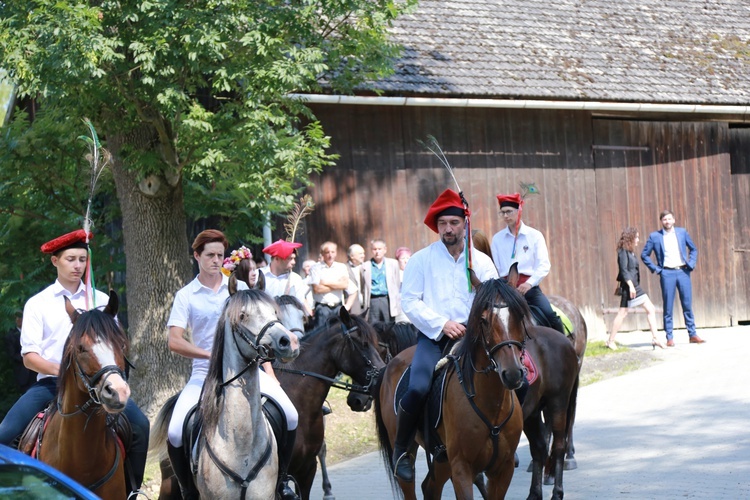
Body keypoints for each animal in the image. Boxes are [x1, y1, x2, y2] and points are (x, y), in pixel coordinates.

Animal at [374, 280, 524, 498]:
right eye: (484, 320)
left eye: (519, 315)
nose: (512, 373)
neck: (491, 404)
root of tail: (389, 366)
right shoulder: (462, 468)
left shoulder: (503, 469)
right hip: (408, 453)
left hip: (442, 457)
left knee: (430, 487)